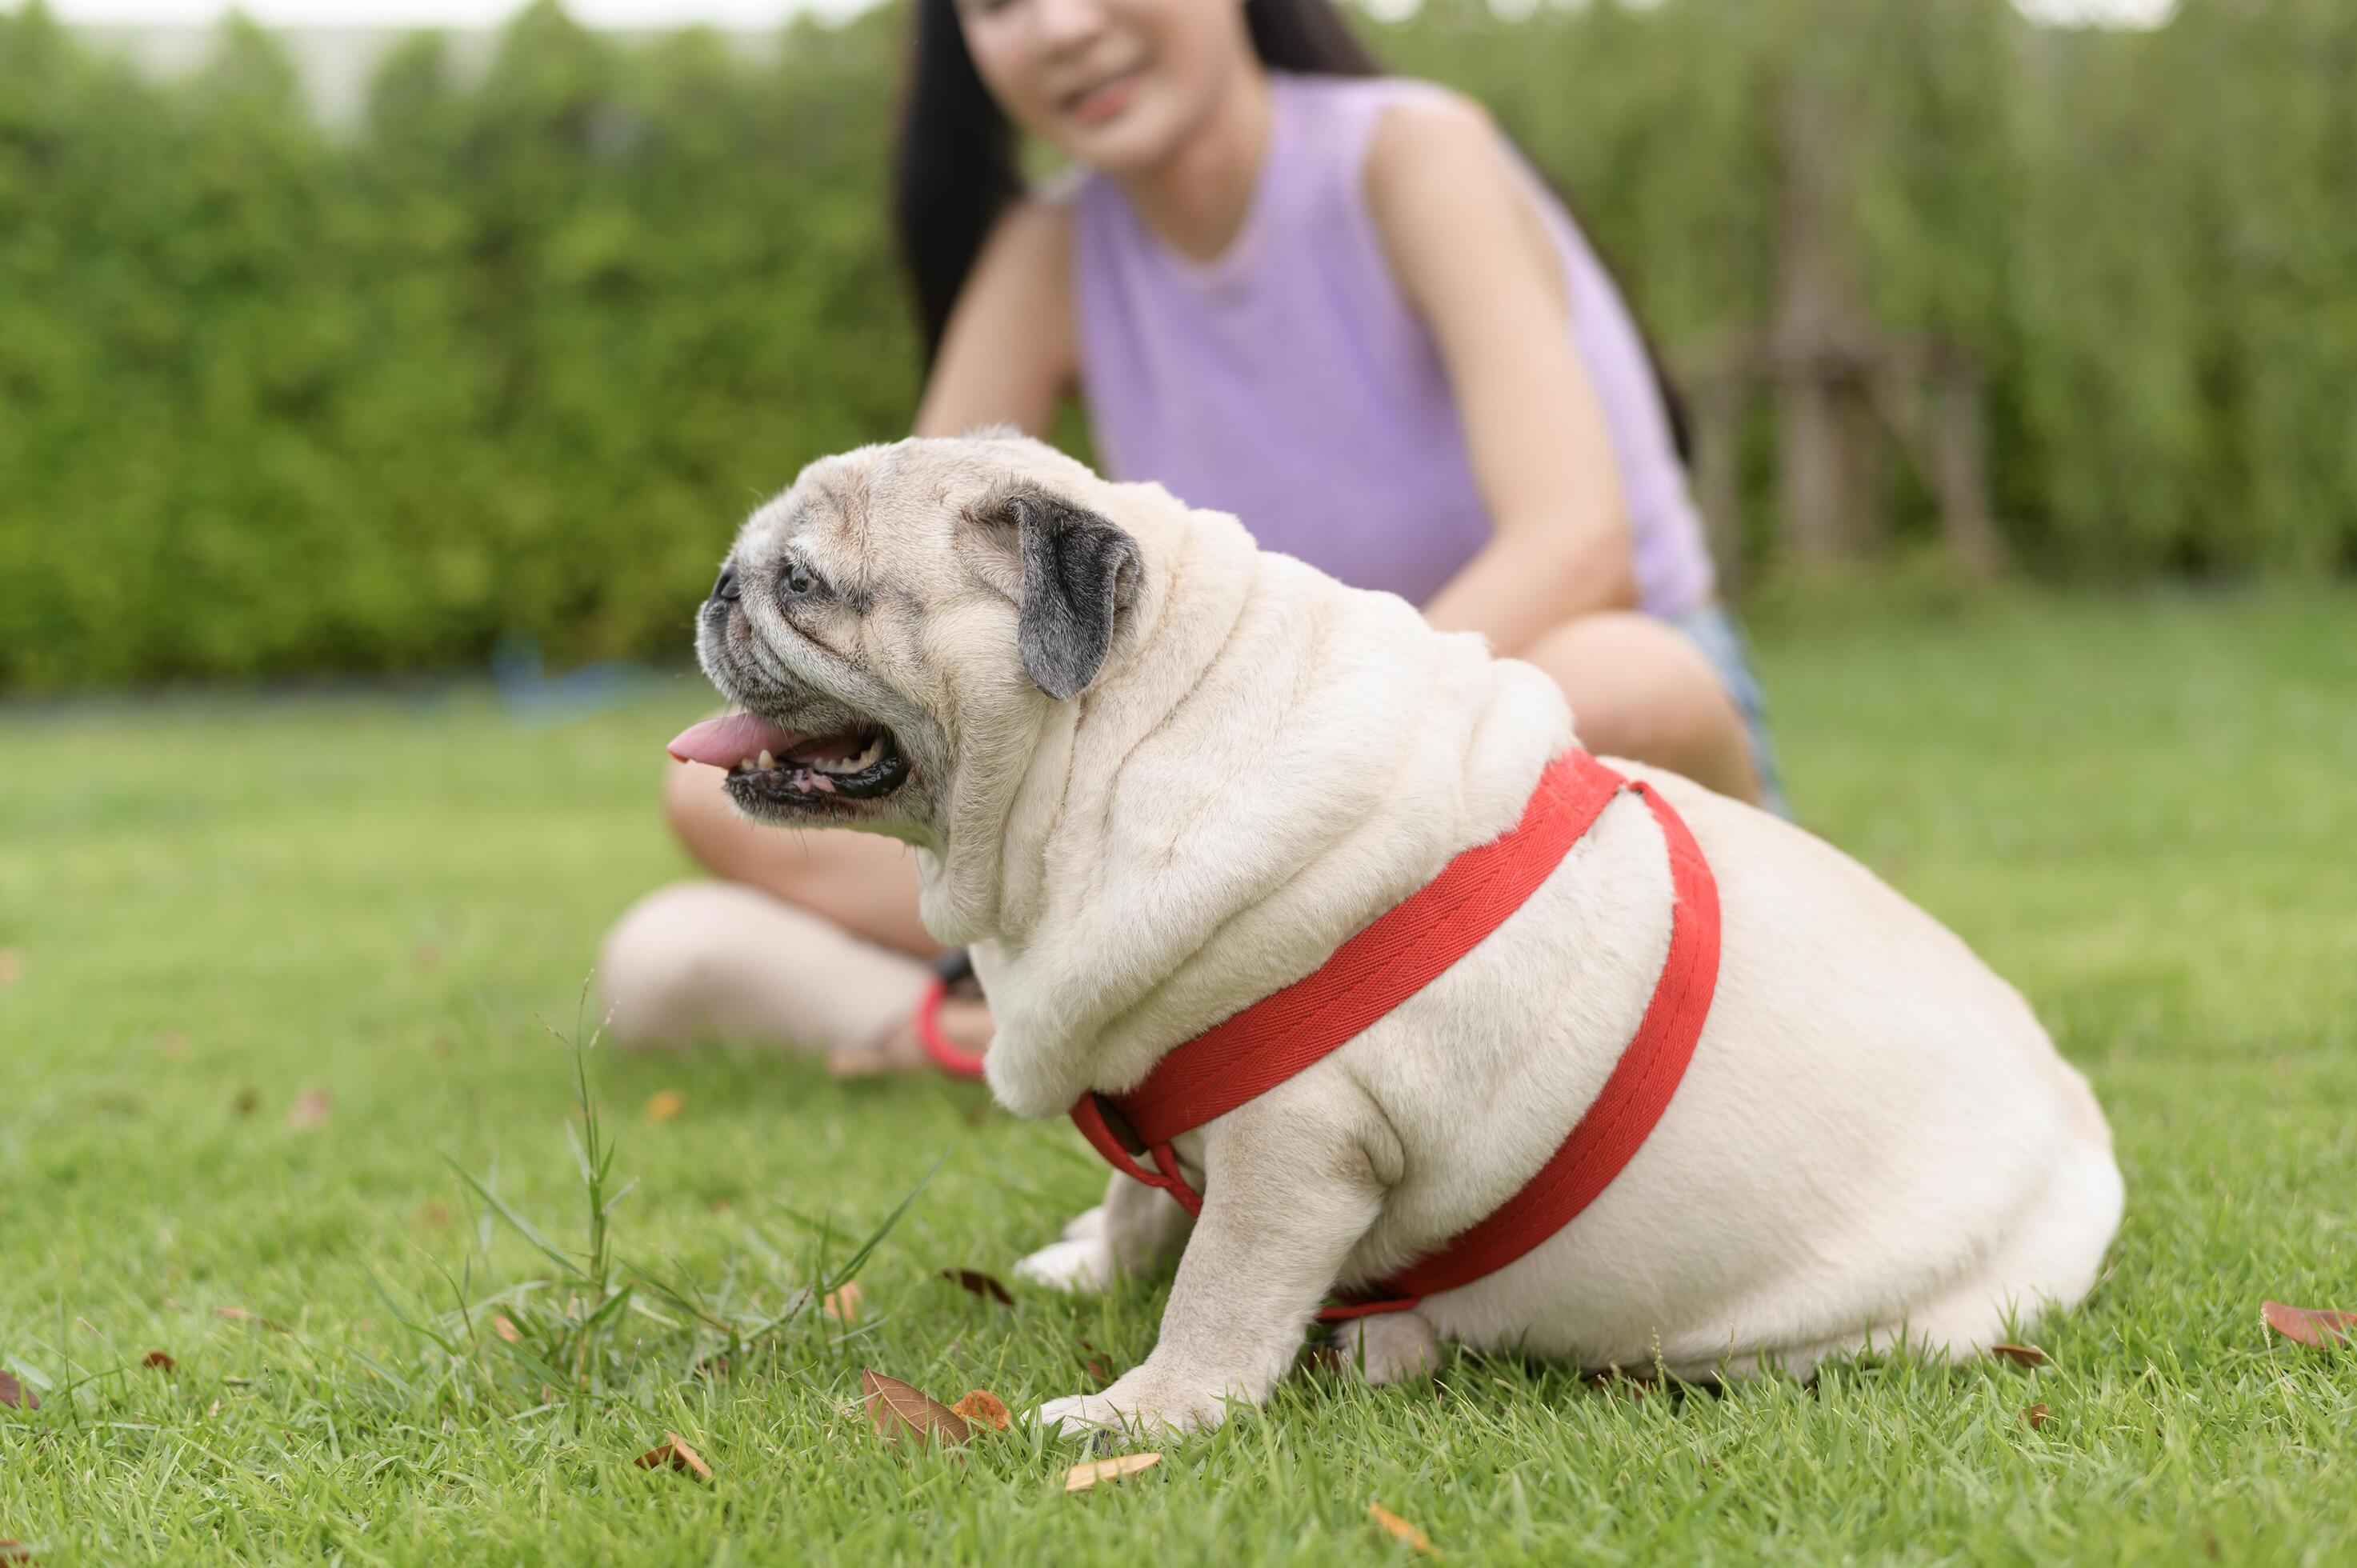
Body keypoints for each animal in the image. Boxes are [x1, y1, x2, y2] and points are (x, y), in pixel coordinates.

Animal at [674, 429, 2131, 1434]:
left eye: (803, 581)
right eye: (754, 568)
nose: (717, 586)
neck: (1120, 742)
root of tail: (2080, 1127)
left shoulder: (1300, 1143)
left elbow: (1217, 1289)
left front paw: (1147, 1415)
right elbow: (1142, 1205)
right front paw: (1093, 1263)